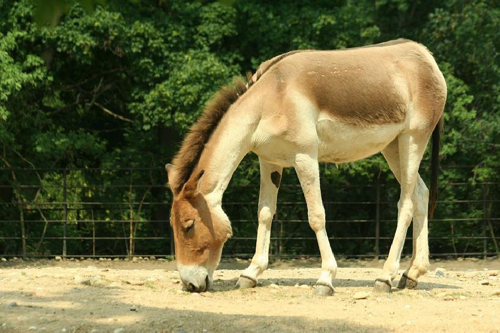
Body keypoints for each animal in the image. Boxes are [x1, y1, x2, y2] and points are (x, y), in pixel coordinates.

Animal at [166, 37, 448, 294]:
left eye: (188, 225)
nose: (190, 285)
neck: (271, 96)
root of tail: (425, 55)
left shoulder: (305, 157)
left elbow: (316, 216)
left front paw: (326, 278)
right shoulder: (268, 160)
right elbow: (265, 213)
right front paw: (250, 273)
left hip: (413, 139)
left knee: (406, 203)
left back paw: (385, 277)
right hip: (393, 147)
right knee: (421, 194)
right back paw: (412, 274)